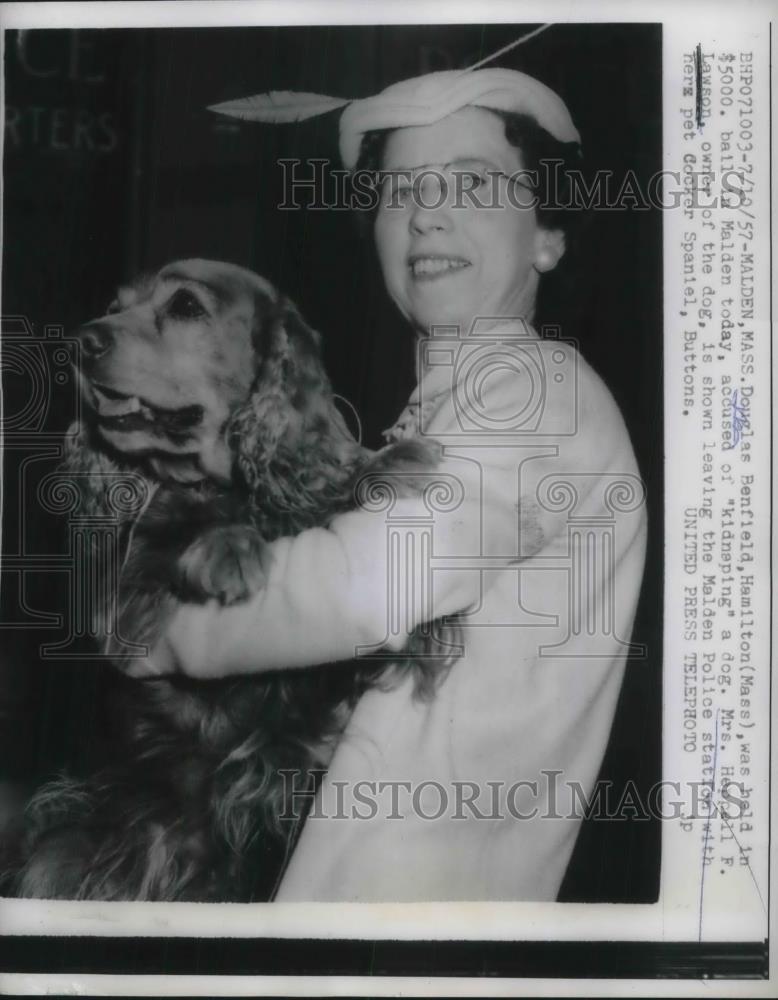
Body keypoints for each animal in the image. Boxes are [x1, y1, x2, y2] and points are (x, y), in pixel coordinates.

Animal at [3, 262, 448, 904]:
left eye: (186, 306)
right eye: (114, 307)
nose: (80, 343)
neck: (233, 487)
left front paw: (388, 461)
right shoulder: (130, 599)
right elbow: (177, 548)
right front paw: (228, 549)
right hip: (67, 845)